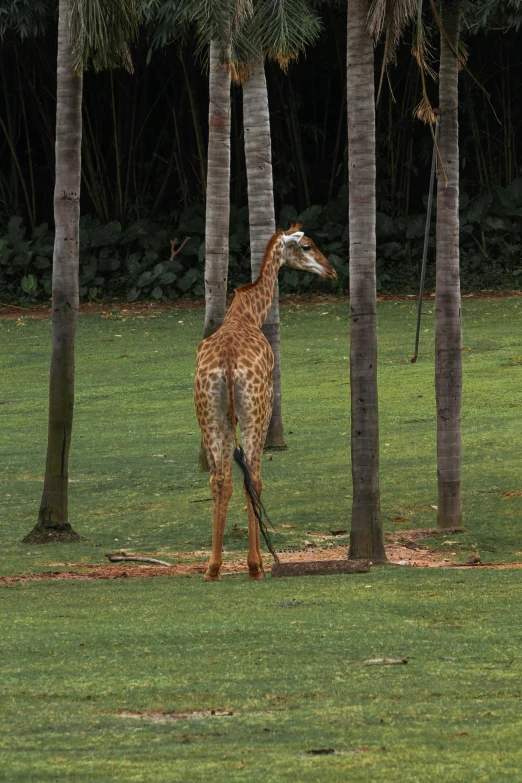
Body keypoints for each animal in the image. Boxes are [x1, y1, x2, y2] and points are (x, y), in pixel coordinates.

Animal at [193, 224, 336, 580]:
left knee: (220, 479)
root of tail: (228, 365)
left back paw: (212, 568)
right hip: (256, 411)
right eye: (307, 246)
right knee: (253, 478)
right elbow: (253, 479)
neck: (248, 314)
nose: (331, 271)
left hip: (208, 412)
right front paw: (255, 563)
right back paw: (256, 565)